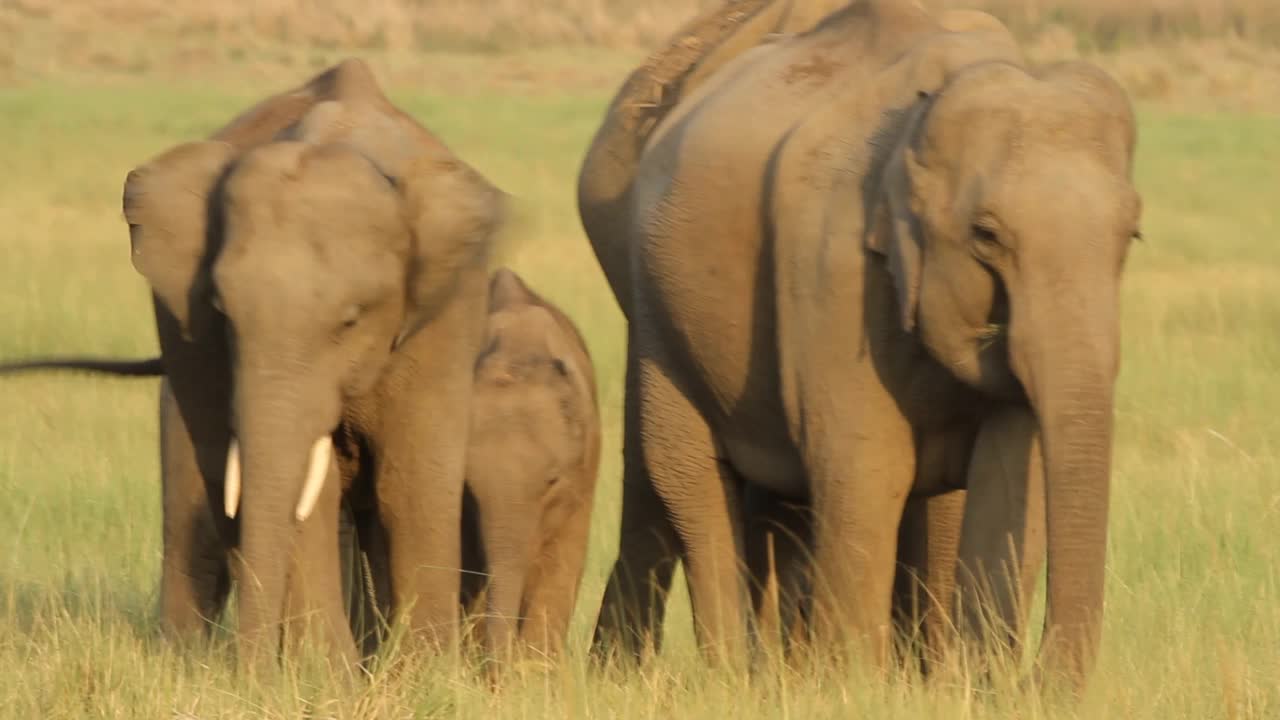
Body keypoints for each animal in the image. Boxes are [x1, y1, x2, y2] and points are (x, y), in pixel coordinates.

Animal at [0, 58, 509, 671]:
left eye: (351, 320)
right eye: (221, 312)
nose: (252, 670)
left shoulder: (444, 316)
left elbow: (410, 476)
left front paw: (422, 678)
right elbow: (307, 491)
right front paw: (323, 678)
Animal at [576, 0, 1146, 691]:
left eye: (1131, 234)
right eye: (986, 235)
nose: (1035, 679)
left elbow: (1010, 468)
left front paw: (968, 686)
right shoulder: (831, 263)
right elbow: (869, 462)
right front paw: (855, 684)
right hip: (656, 308)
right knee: (683, 474)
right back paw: (723, 676)